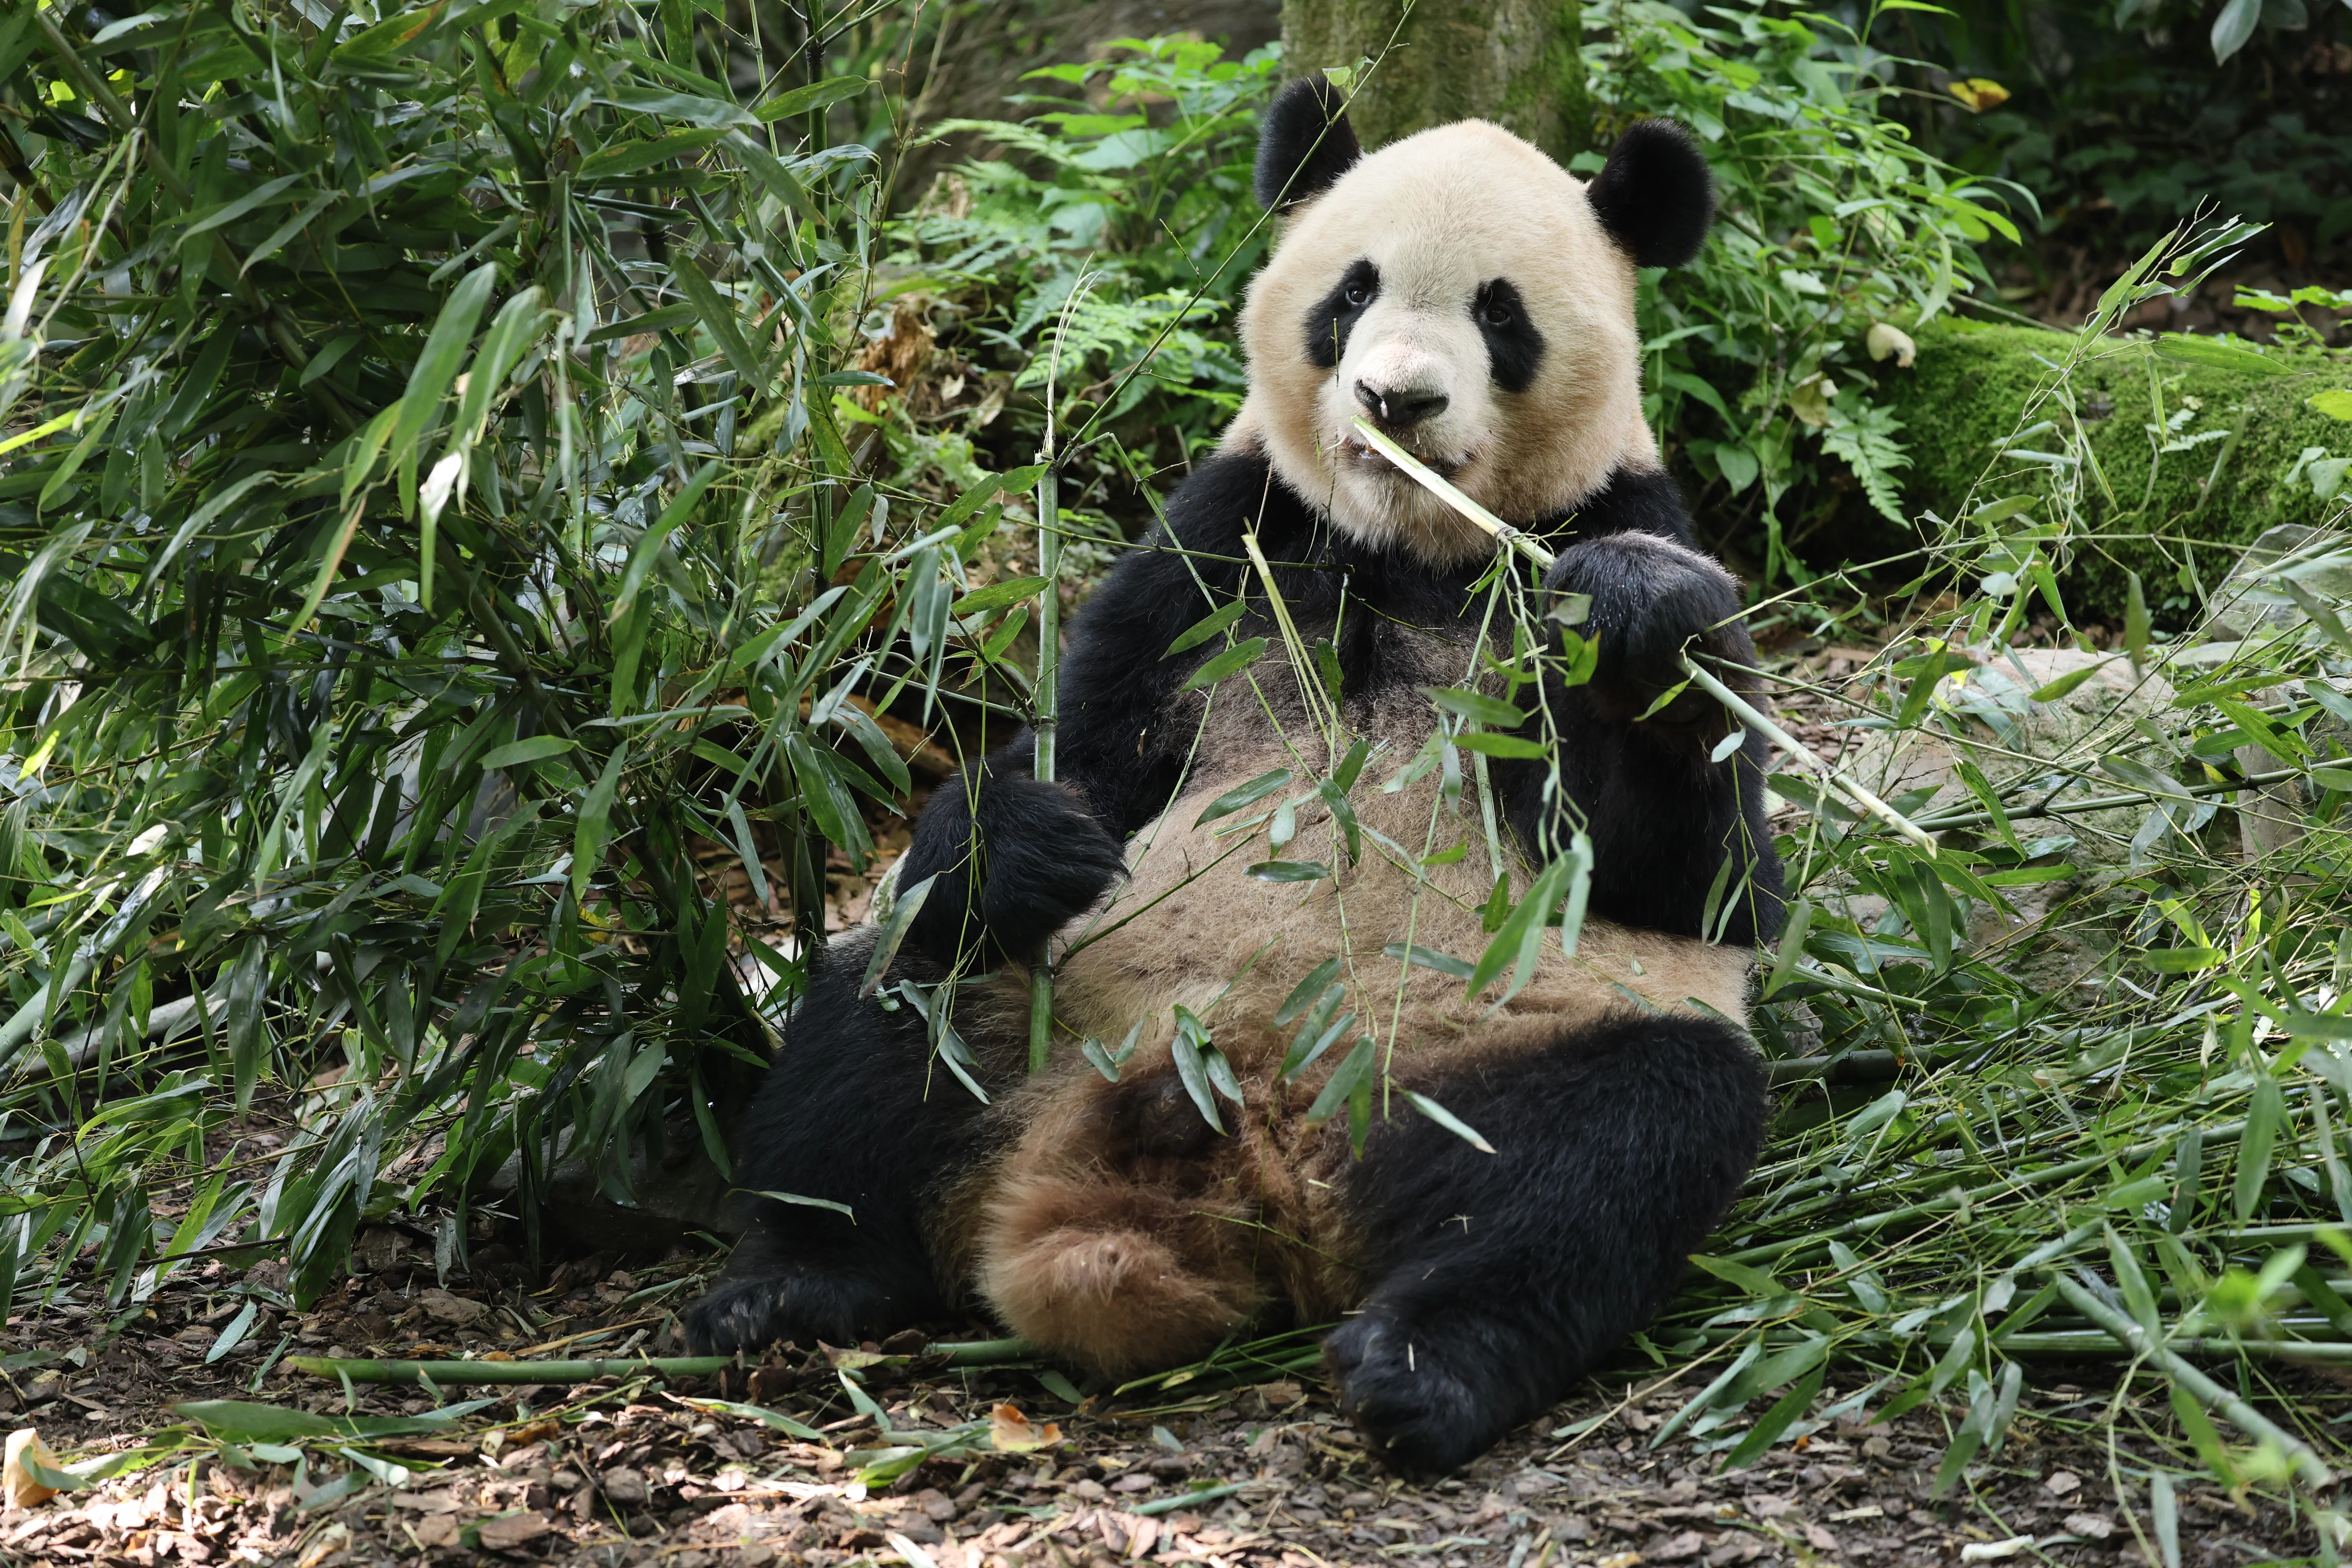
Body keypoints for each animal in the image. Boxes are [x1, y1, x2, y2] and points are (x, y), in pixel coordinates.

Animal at [686, 80, 1787, 1475]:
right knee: (887, 1003)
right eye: (1353, 292)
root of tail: (1251, 1145)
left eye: (1500, 314)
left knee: (1614, 1151)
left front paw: (1637, 624)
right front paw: (1033, 831)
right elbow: (1086, 755)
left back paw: (1424, 1364)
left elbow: (1699, 881)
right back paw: (790, 1283)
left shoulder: (1602, 522)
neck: (1408, 541)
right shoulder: (1225, 541)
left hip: (1492, 1047)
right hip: (1044, 1015)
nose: (1394, 402)